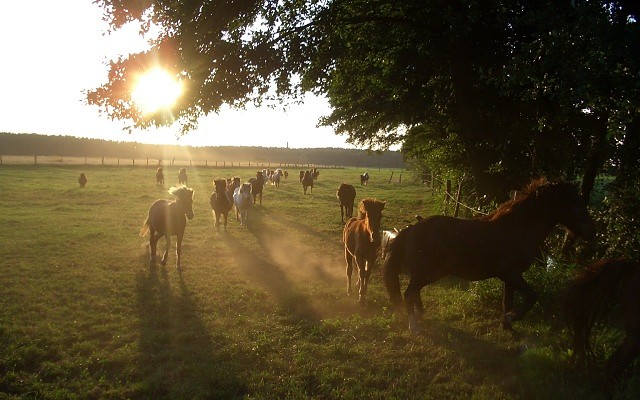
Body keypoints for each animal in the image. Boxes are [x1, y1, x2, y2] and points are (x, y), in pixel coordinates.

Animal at [380, 178, 596, 332]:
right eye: (574, 204)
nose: (592, 232)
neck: (517, 228)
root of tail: (412, 229)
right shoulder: (510, 274)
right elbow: (531, 296)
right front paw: (512, 318)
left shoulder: (511, 277)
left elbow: (507, 301)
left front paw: (507, 326)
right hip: (428, 272)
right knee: (409, 293)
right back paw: (414, 325)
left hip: (429, 273)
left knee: (414, 292)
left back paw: (420, 316)